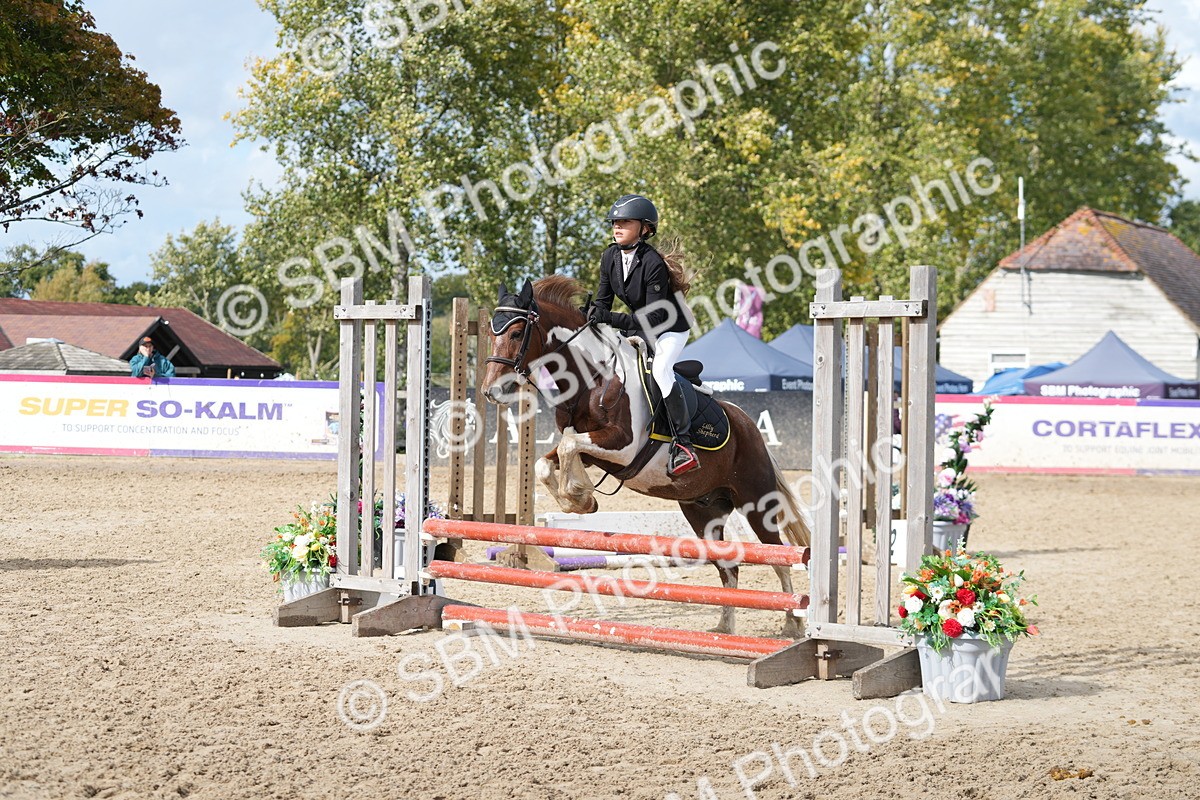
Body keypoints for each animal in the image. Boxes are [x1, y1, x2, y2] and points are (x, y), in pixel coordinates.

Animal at [481, 275, 811, 636]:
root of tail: (747, 424)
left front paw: (580, 496)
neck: (593, 377)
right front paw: (580, 499)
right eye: (490, 333)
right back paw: (724, 626)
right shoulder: (595, 450)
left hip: (757, 502)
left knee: (778, 555)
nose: (490, 392)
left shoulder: (623, 446)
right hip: (703, 511)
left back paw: (792, 623)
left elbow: (569, 447)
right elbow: (549, 459)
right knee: (728, 566)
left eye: (516, 332)